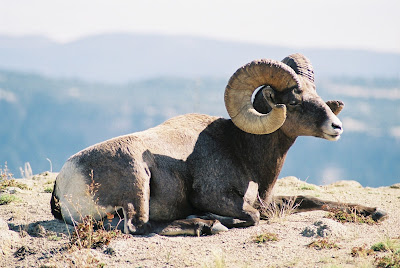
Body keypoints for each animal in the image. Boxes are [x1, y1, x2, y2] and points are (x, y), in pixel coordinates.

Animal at [50, 53, 388, 236]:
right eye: (294, 100)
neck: (242, 150)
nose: (336, 127)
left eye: (316, 94)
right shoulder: (216, 196)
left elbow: (311, 199)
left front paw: (375, 212)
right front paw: (216, 220)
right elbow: (252, 216)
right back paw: (206, 225)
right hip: (137, 180)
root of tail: (65, 180)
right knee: (138, 226)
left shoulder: (271, 199)